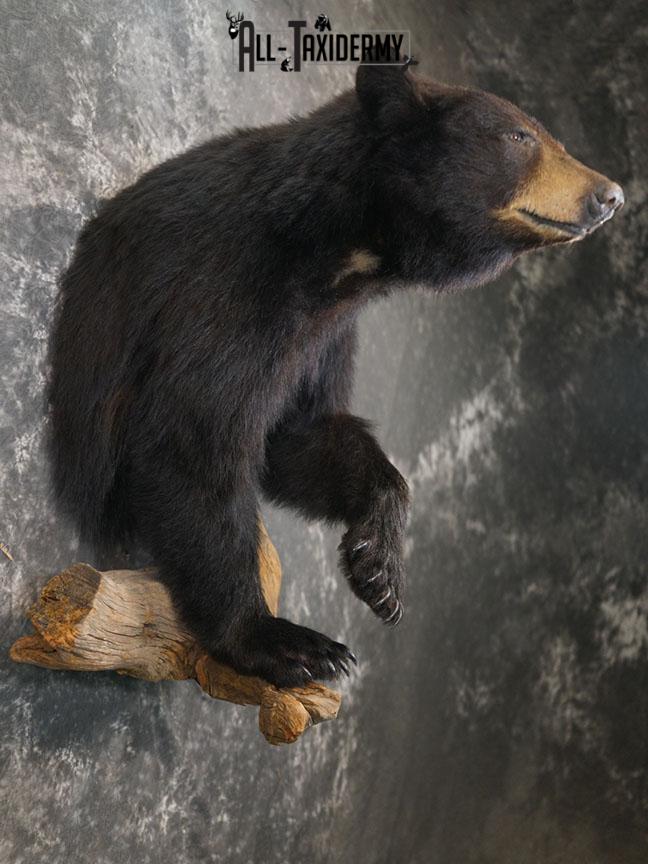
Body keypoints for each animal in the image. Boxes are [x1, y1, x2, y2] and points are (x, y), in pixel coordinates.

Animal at [48, 61, 624, 688]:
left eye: (546, 136)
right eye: (520, 136)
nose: (610, 195)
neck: (343, 252)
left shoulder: (326, 335)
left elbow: (299, 430)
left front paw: (381, 570)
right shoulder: (224, 290)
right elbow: (191, 436)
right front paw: (283, 640)